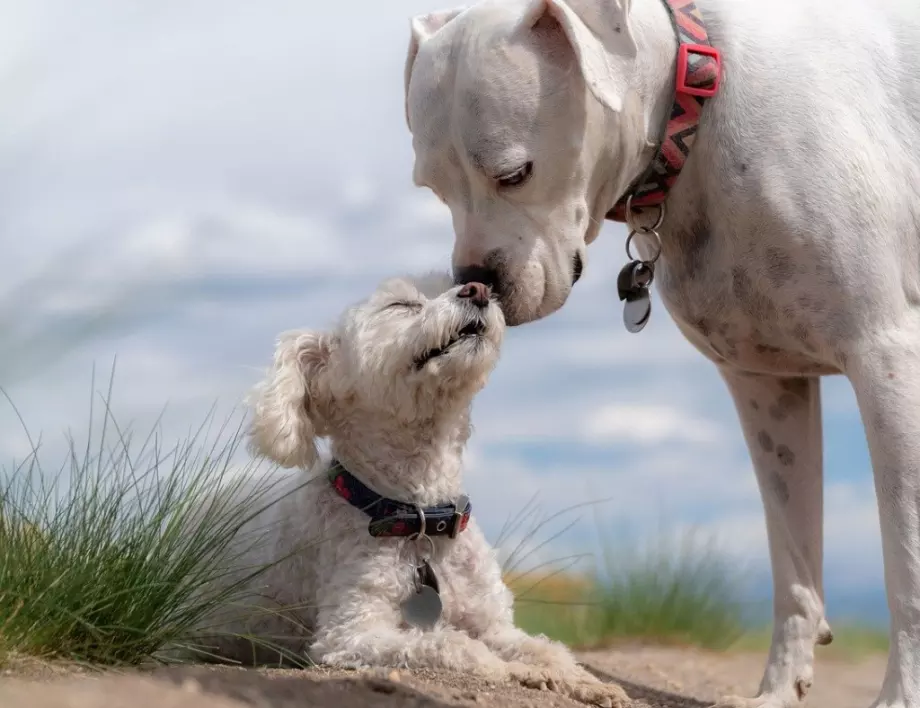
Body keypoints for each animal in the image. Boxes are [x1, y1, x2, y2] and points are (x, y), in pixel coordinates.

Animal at [208, 274, 628, 708]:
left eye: (453, 284)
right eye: (401, 305)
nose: (478, 288)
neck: (421, 517)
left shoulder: (494, 624)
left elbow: (546, 649)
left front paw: (587, 682)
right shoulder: (350, 634)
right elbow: (453, 645)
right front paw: (515, 671)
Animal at [404, 1, 920, 708]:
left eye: (514, 174)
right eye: (432, 188)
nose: (474, 281)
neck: (696, 101)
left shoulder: (887, 362)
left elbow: (907, 564)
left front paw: (901, 693)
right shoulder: (766, 386)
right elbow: (793, 561)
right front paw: (777, 691)